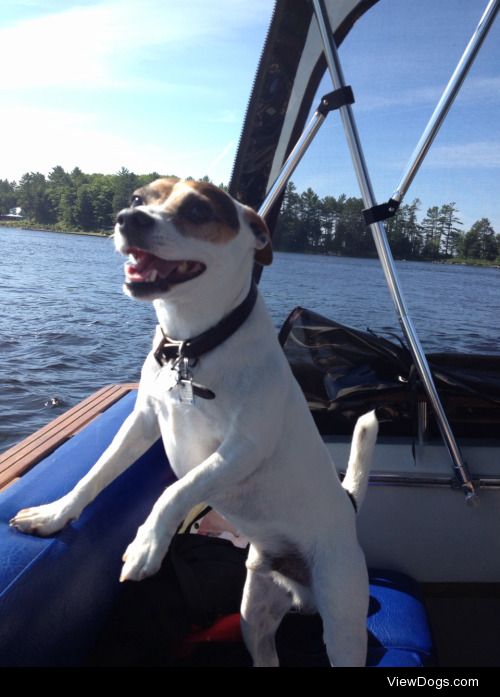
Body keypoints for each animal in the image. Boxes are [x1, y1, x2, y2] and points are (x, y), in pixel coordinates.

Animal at [9, 177, 376, 668]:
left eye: (199, 211)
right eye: (138, 199)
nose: (128, 219)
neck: (192, 345)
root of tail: (348, 504)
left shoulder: (242, 449)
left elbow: (175, 490)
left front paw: (147, 544)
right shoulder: (143, 422)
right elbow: (95, 475)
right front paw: (53, 516)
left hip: (343, 619)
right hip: (254, 614)